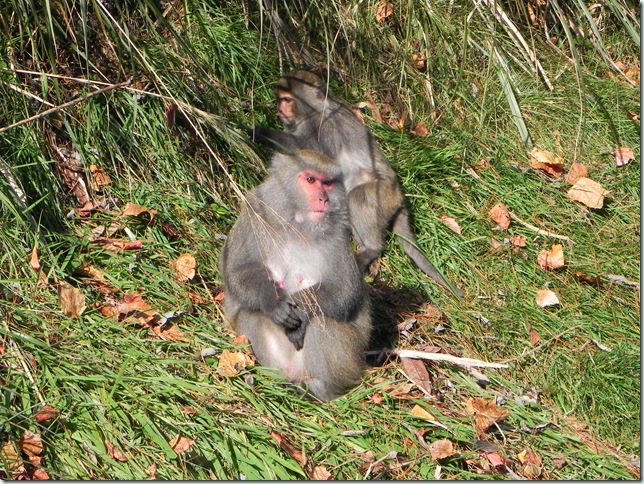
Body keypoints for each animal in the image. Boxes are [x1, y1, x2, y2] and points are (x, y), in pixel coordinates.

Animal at [221, 149, 372, 402]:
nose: (324, 199)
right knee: (252, 313)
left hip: (348, 365)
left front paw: (301, 310)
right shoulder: (255, 215)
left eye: (328, 183)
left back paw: (319, 389)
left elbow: (344, 291)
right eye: (311, 180)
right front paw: (274, 302)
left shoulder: (338, 238)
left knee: (322, 321)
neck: (297, 226)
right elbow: (238, 270)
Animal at [250, 70, 462, 296]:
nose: (280, 109)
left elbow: (311, 156)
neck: (316, 110)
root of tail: (399, 197)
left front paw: (259, 132)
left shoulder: (324, 129)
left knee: (357, 197)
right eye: (280, 99)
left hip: (382, 195)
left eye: (287, 99)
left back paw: (370, 250)